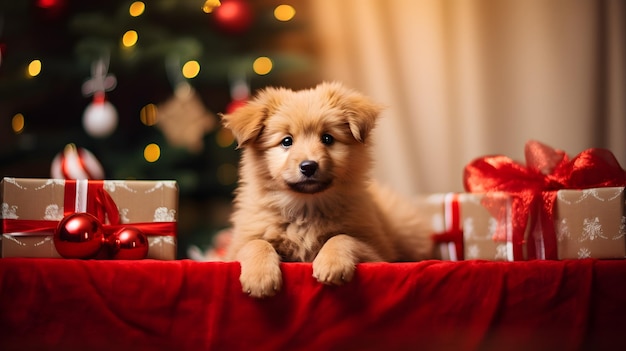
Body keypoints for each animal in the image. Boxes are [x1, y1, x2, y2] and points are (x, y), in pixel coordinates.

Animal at [222, 81, 432, 298]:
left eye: (327, 138)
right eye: (286, 141)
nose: (308, 166)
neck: (306, 207)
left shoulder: (378, 254)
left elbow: (342, 237)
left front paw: (332, 264)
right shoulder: (234, 250)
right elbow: (256, 244)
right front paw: (260, 277)